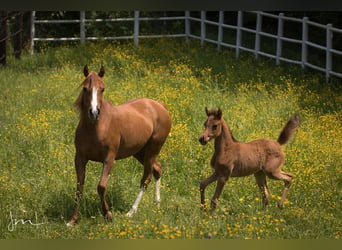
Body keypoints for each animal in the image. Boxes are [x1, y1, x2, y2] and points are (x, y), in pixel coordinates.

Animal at [67, 65, 172, 226]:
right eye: (85, 88)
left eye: (102, 89)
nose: (94, 112)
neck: (95, 127)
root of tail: (160, 106)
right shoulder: (80, 159)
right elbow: (79, 188)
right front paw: (72, 220)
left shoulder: (109, 159)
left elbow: (101, 186)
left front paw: (108, 215)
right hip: (140, 152)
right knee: (157, 169)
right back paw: (157, 204)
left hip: (153, 149)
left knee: (145, 179)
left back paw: (131, 212)